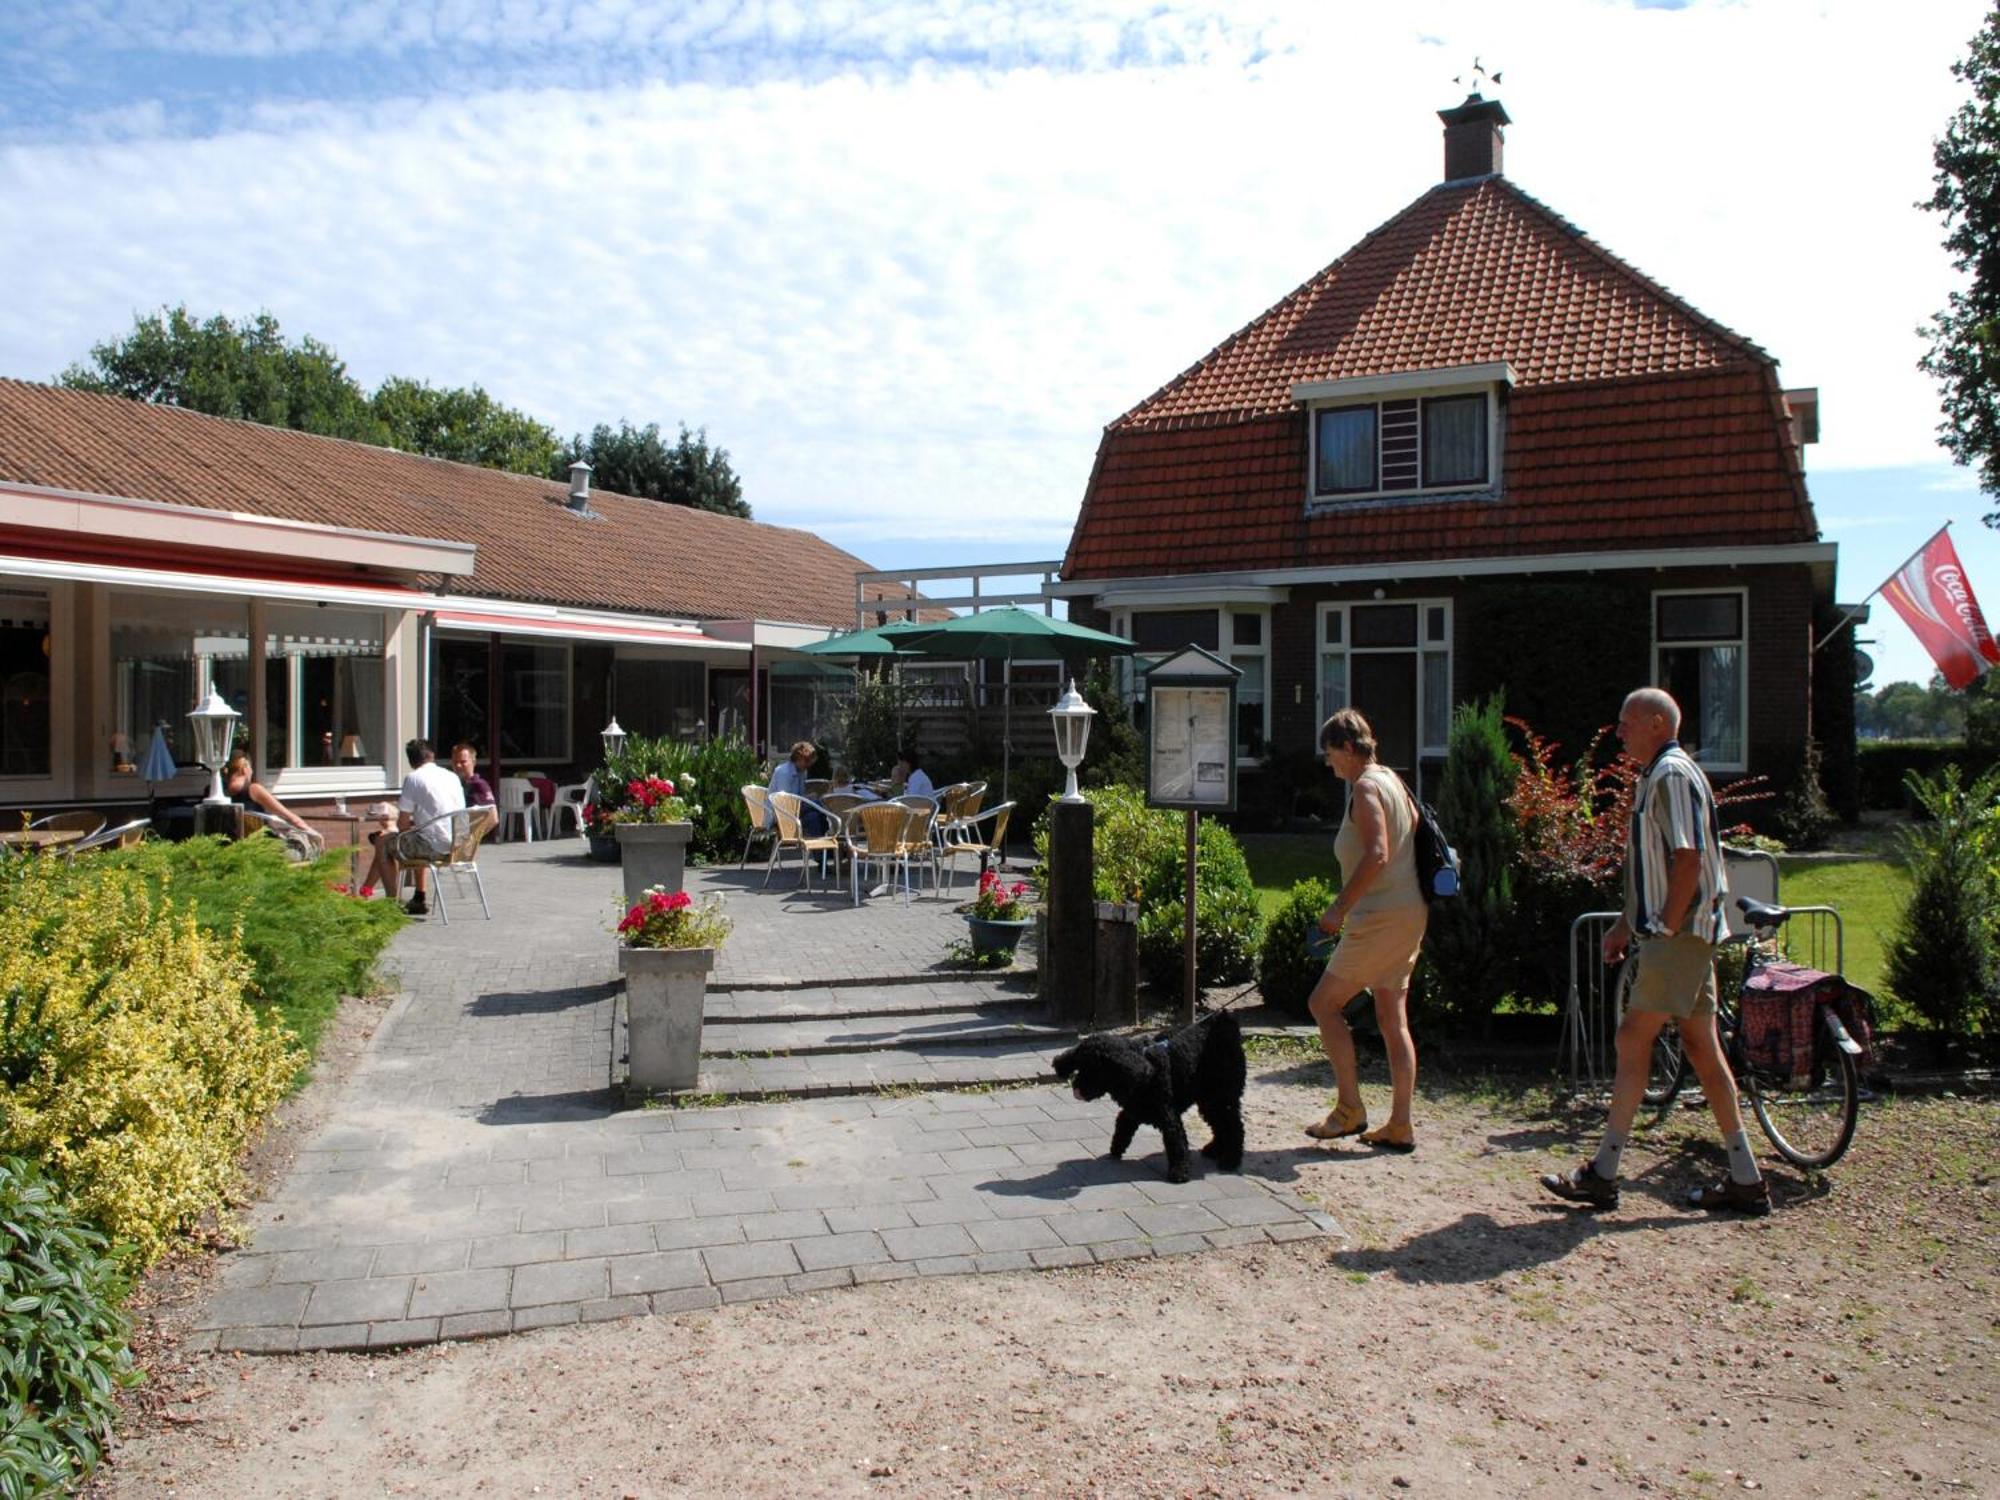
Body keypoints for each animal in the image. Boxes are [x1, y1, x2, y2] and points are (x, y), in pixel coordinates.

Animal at [1056, 1012, 1240, 1184]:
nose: (1076, 1088)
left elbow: (1176, 1143)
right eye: (1080, 1066)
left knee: (1233, 1126)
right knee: (1220, 1125)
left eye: (1096, 1071)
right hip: (1210, 1099)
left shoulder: (1169, 1117)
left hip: (1223, 1096)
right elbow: (1122, 1127)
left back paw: (1230, 1161)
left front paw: (1179, 1172)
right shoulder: (1132, 1110)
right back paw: (1214, 1150)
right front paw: (1115, 1150)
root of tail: (1223, 1019)